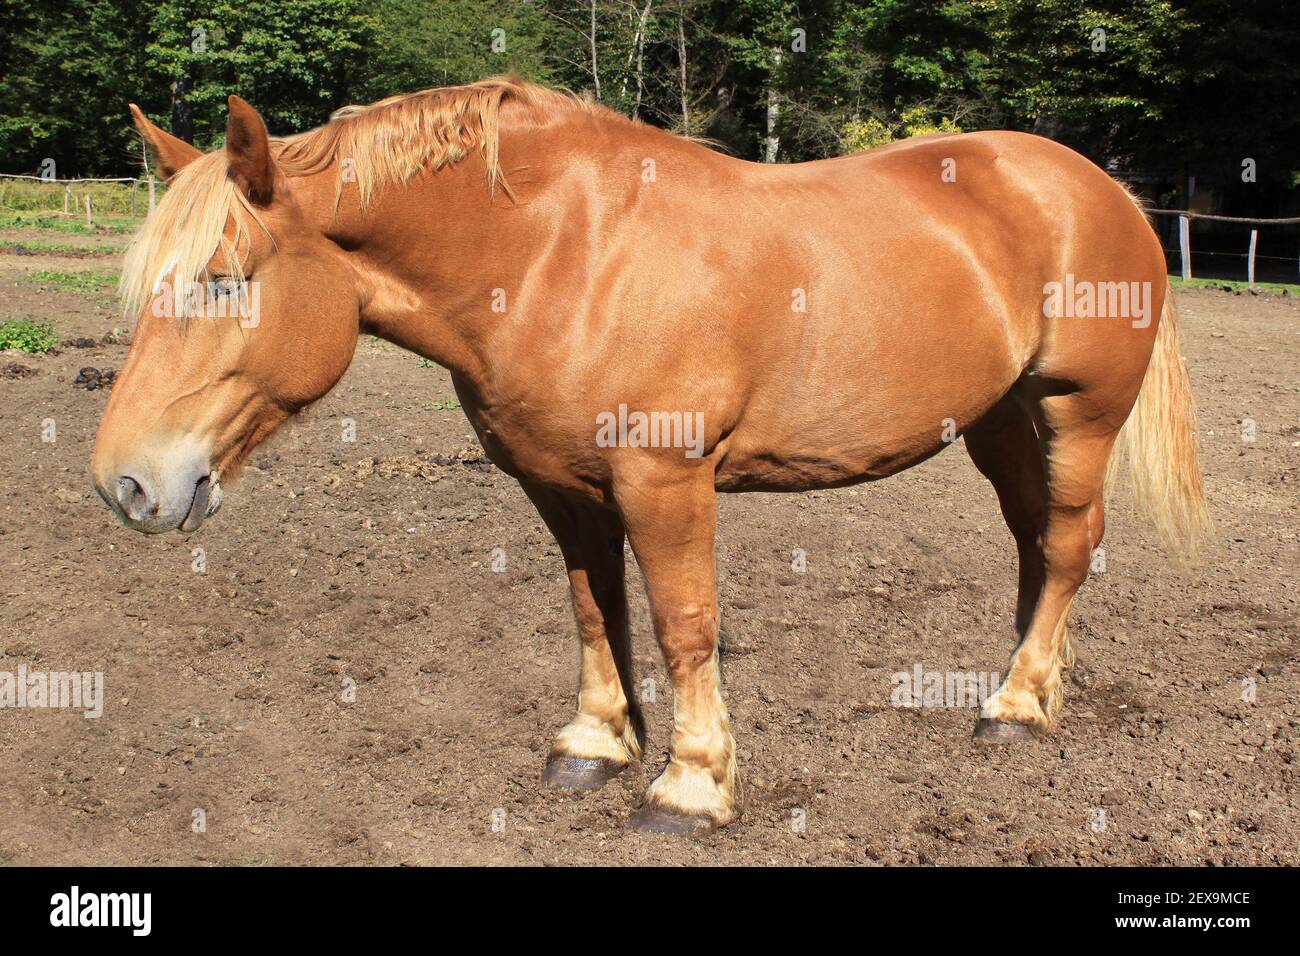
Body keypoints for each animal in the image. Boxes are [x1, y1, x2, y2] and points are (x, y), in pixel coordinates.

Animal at [89, 76, 1206, 837]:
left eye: (226, 279)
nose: (126, 484)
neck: (564, 255)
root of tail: (1101, 190)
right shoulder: (562, 486)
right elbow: (596, 609)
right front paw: (595, 743)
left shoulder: (667, 480)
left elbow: (683, 624)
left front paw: (691, 782)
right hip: (999, 421)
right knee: (1035, 544)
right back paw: (1030, 682)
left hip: (1077, 415)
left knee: (1067, 545)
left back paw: (1017, 705)